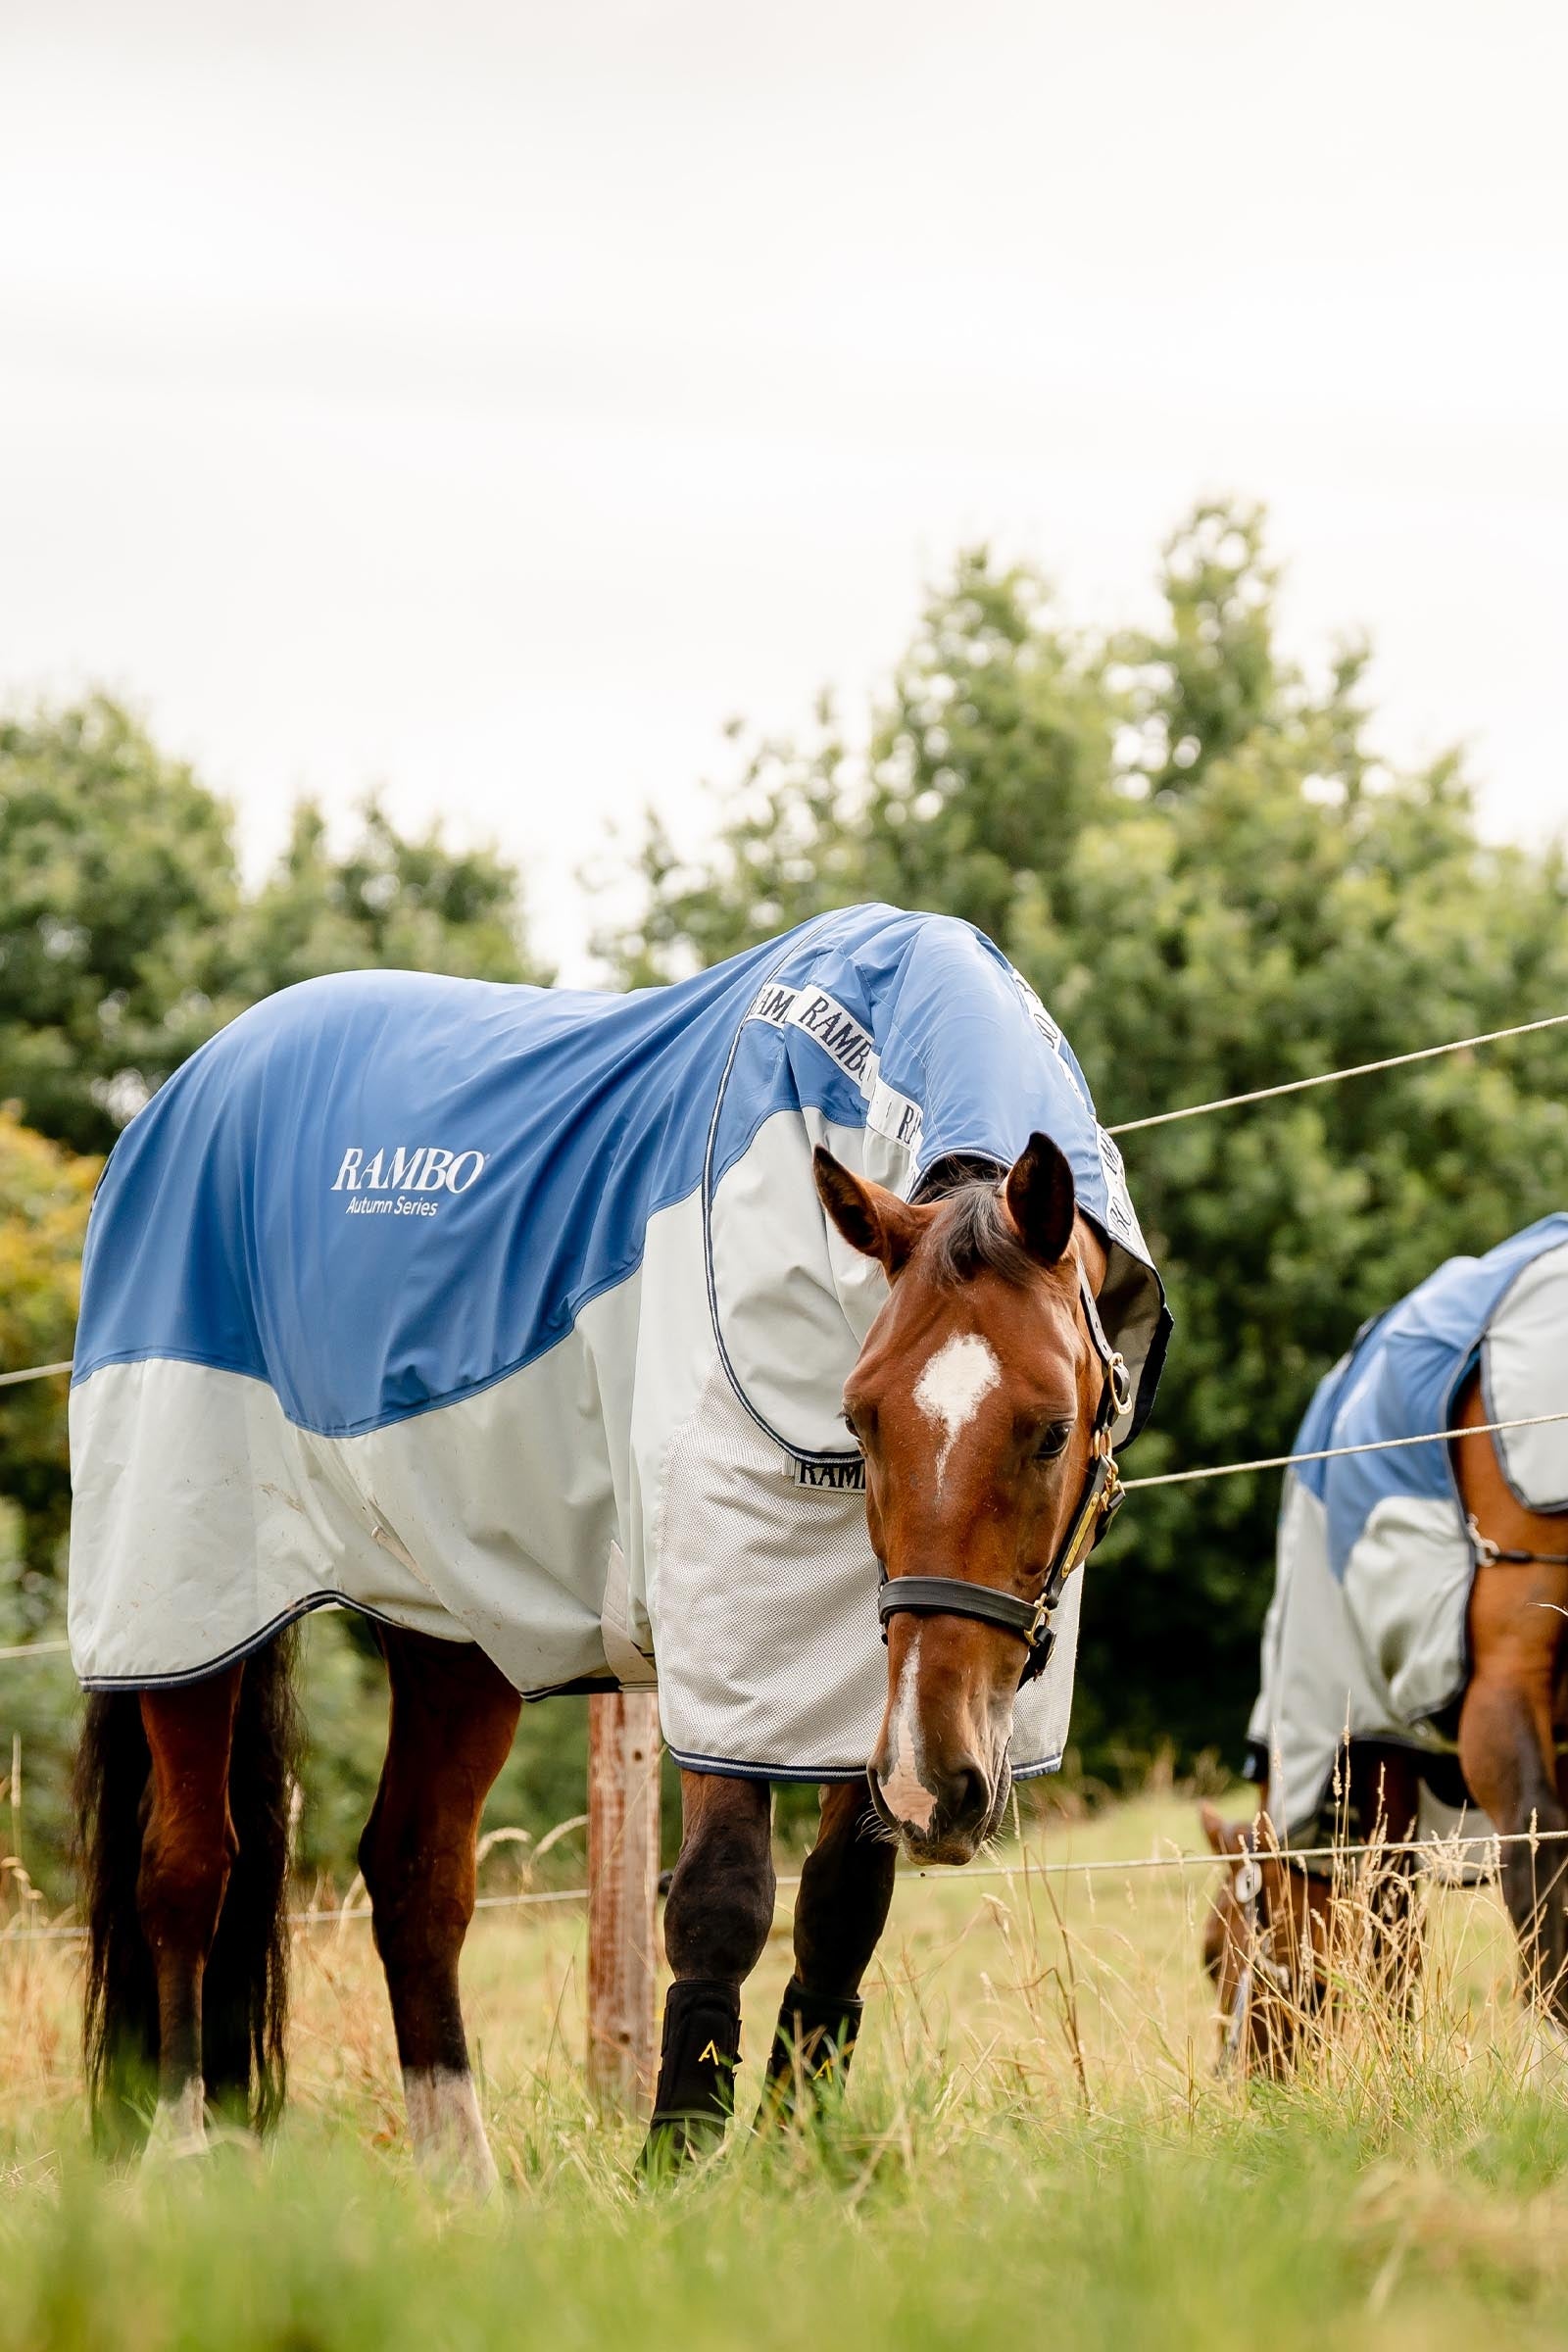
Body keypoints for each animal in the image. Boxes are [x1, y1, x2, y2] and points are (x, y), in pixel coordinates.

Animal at [66, 903, 1168, 2177]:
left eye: (1051, 1430)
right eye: (860, 1418)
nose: (938, 1785)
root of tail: (178, 1097)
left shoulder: (864, 1674)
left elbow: (840, 1909)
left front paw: (789, 2168)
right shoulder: (731, 1627)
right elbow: (721, 1901)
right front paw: (678, 2163)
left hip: (457, 1636)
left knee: (415, 1876)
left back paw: (462, 2179)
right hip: (184, 1607)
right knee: (188, 1866)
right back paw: (184, 2154)